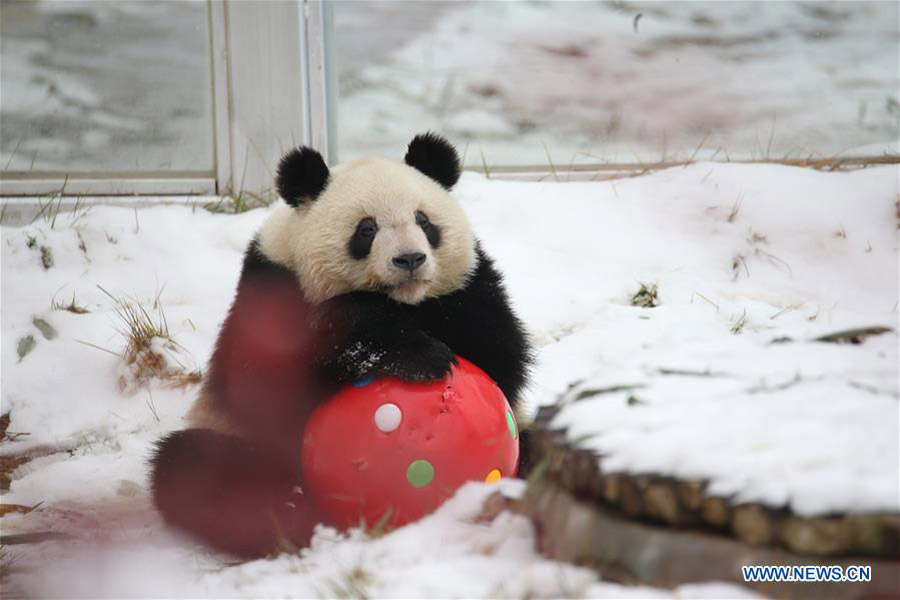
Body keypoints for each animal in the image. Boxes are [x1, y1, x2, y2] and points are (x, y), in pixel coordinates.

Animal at [150, 134, 532, 556]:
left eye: (423, 221)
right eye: (366, 229)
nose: (410, 259)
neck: (402, 302)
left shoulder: (471, 287)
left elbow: (503, 357)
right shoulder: (270, 286)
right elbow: (265, 385)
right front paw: (418, 355)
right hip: (230, 434)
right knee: (197, 468)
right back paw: (288, 510)